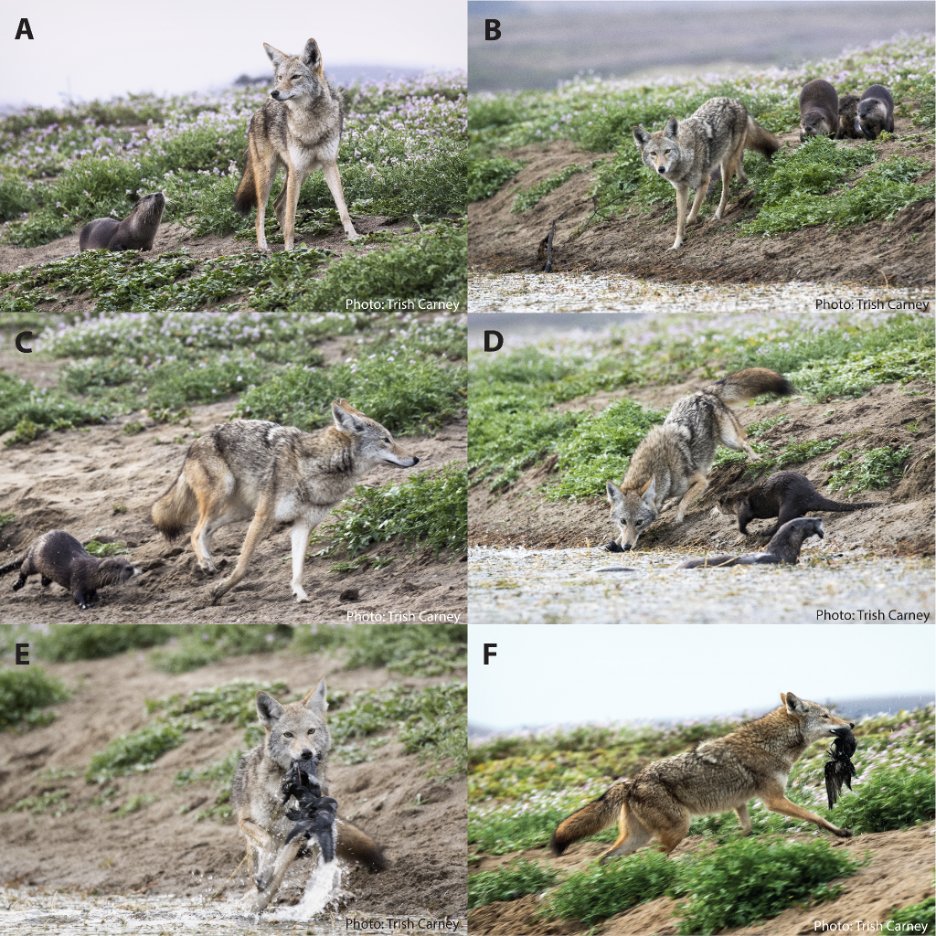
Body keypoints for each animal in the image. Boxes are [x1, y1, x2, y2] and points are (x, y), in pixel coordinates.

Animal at [1, 530, 136, 608]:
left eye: (127, 562)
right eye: (116, 566)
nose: (130, 568)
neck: (89, 571)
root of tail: (35, 542)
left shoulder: (91, 585)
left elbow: (92, 592)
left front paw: (96, 598)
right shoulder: (77, 578)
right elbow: (76, 595)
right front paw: (85, 604)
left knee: (43, 577)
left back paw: (45, 581)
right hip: (34, 561)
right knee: (23, 569)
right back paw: (17, 585)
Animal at [718, 470, 876, 539]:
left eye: (718, 504)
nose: (716, 507)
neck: (735, 499)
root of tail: (810, 494)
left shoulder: (741, 504)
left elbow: (744, 518)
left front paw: (746, 532)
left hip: (789, 502)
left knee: (781, 522)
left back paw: (764, 533)